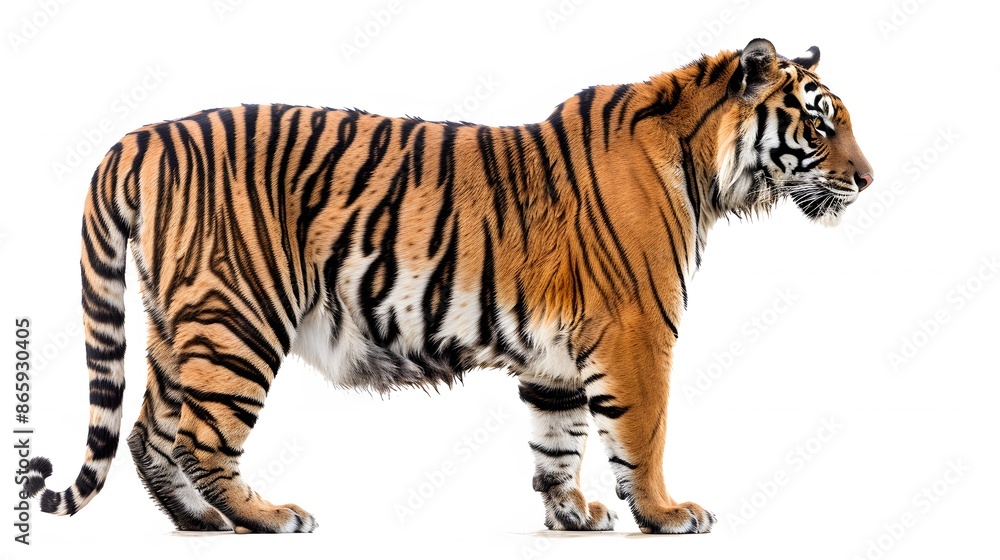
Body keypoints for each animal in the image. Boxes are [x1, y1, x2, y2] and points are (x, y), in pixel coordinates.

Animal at [23, 38, 872, 534]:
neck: (708, 170)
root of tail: (142, 136)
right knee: (198, 436)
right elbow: (643, 432)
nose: (868, 180)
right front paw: (666, 512)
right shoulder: (637, 328)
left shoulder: (558, 350)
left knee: (148, 431)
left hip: (180, 323)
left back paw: (201, 521)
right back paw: (269, 516)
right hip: (237, 319)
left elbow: (557, 437)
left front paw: (571, 512)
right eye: (821, 126)